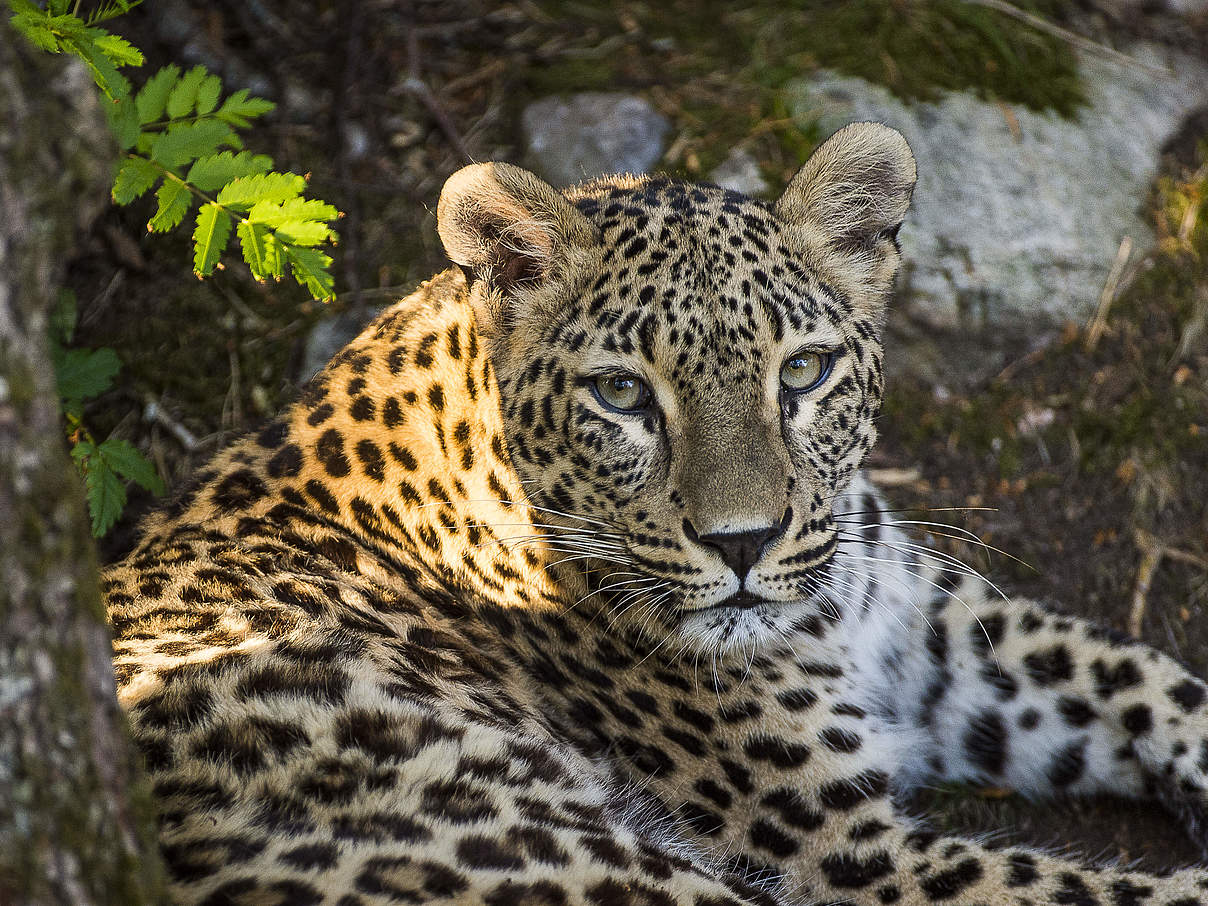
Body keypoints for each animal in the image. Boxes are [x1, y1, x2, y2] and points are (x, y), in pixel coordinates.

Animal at [101, 122, 1208, 906]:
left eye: (800, 373)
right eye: (623, 393)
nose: (743, 545)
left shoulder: (933, 638)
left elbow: (1139, 677)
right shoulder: (849, 856)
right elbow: (1085, 891)